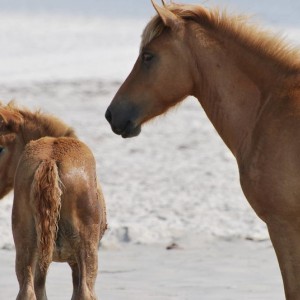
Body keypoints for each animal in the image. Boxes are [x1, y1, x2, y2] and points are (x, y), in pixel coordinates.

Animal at [0, 103, 107, 300]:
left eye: (0, 148)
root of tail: (50, 159)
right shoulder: (74, 260)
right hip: (86, 250)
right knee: (85, 292)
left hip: (26, 245)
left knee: (26, 291)